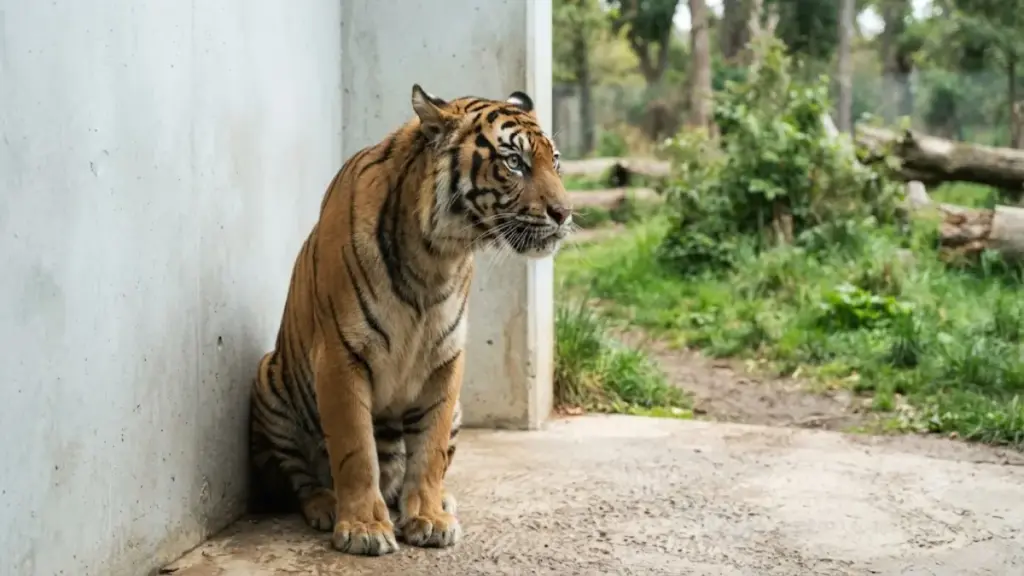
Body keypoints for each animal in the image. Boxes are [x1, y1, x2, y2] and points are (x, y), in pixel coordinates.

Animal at [247, 84, 573, 556]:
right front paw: (363, 527)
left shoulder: (445, 359)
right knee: (300, 479)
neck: (437, 255)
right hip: (269, 383)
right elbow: (355, 449)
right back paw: (326, 504)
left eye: (556, 162)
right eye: (515, 162)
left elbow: (430, 451)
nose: (565, 214)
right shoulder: (341, 355)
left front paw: (429, 517)